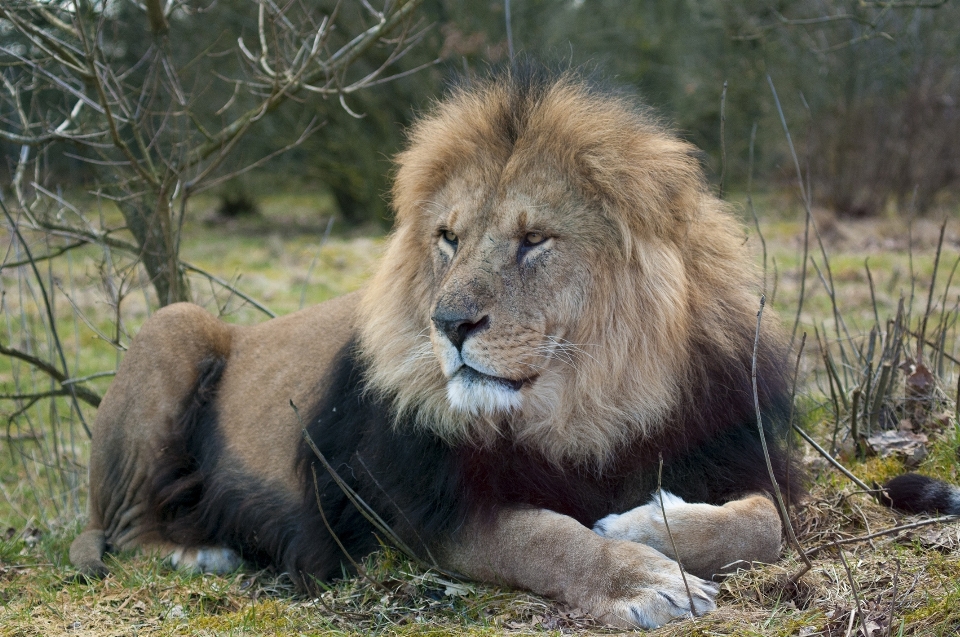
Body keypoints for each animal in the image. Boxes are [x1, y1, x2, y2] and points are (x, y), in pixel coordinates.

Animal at [69, 67, 804, 628]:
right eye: (449, 237)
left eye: (533, 239)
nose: (447, 322)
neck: (589, 405)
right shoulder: (415, 508)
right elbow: (544, 537)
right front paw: (644, 579)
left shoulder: (731, 447)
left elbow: (764, 521)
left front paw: (647, 520)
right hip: (174, 324)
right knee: (124, 529)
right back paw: (199, 553)